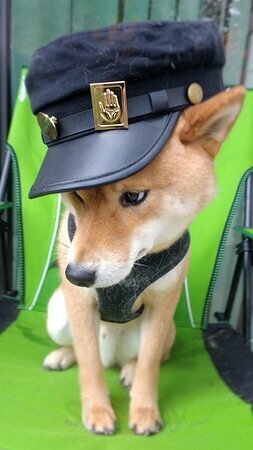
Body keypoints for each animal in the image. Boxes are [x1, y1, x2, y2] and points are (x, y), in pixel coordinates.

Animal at [41, 86, 245, 434]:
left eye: (134, 196)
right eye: (77, 194)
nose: (76, 275)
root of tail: (114, 355)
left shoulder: (163, 305)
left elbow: (150, 364)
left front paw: (145, 411)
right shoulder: (79, 302)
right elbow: (89, 364)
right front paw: (97, 410)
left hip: (169, 331)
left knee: (149, 357)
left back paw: (129, 371)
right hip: (57, 313)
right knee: (86, 353)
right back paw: (64, 355)